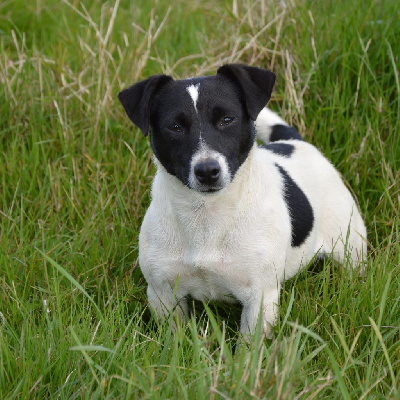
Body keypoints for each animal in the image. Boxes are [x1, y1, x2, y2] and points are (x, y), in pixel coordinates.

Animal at [117, 65, 368, 338]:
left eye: (227, 120)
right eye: (174, 126)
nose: (207, 171)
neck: (207, 215)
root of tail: (296, 143)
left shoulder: (260, 299)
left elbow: (249, 346)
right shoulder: (162, 293)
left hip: (351, 250)